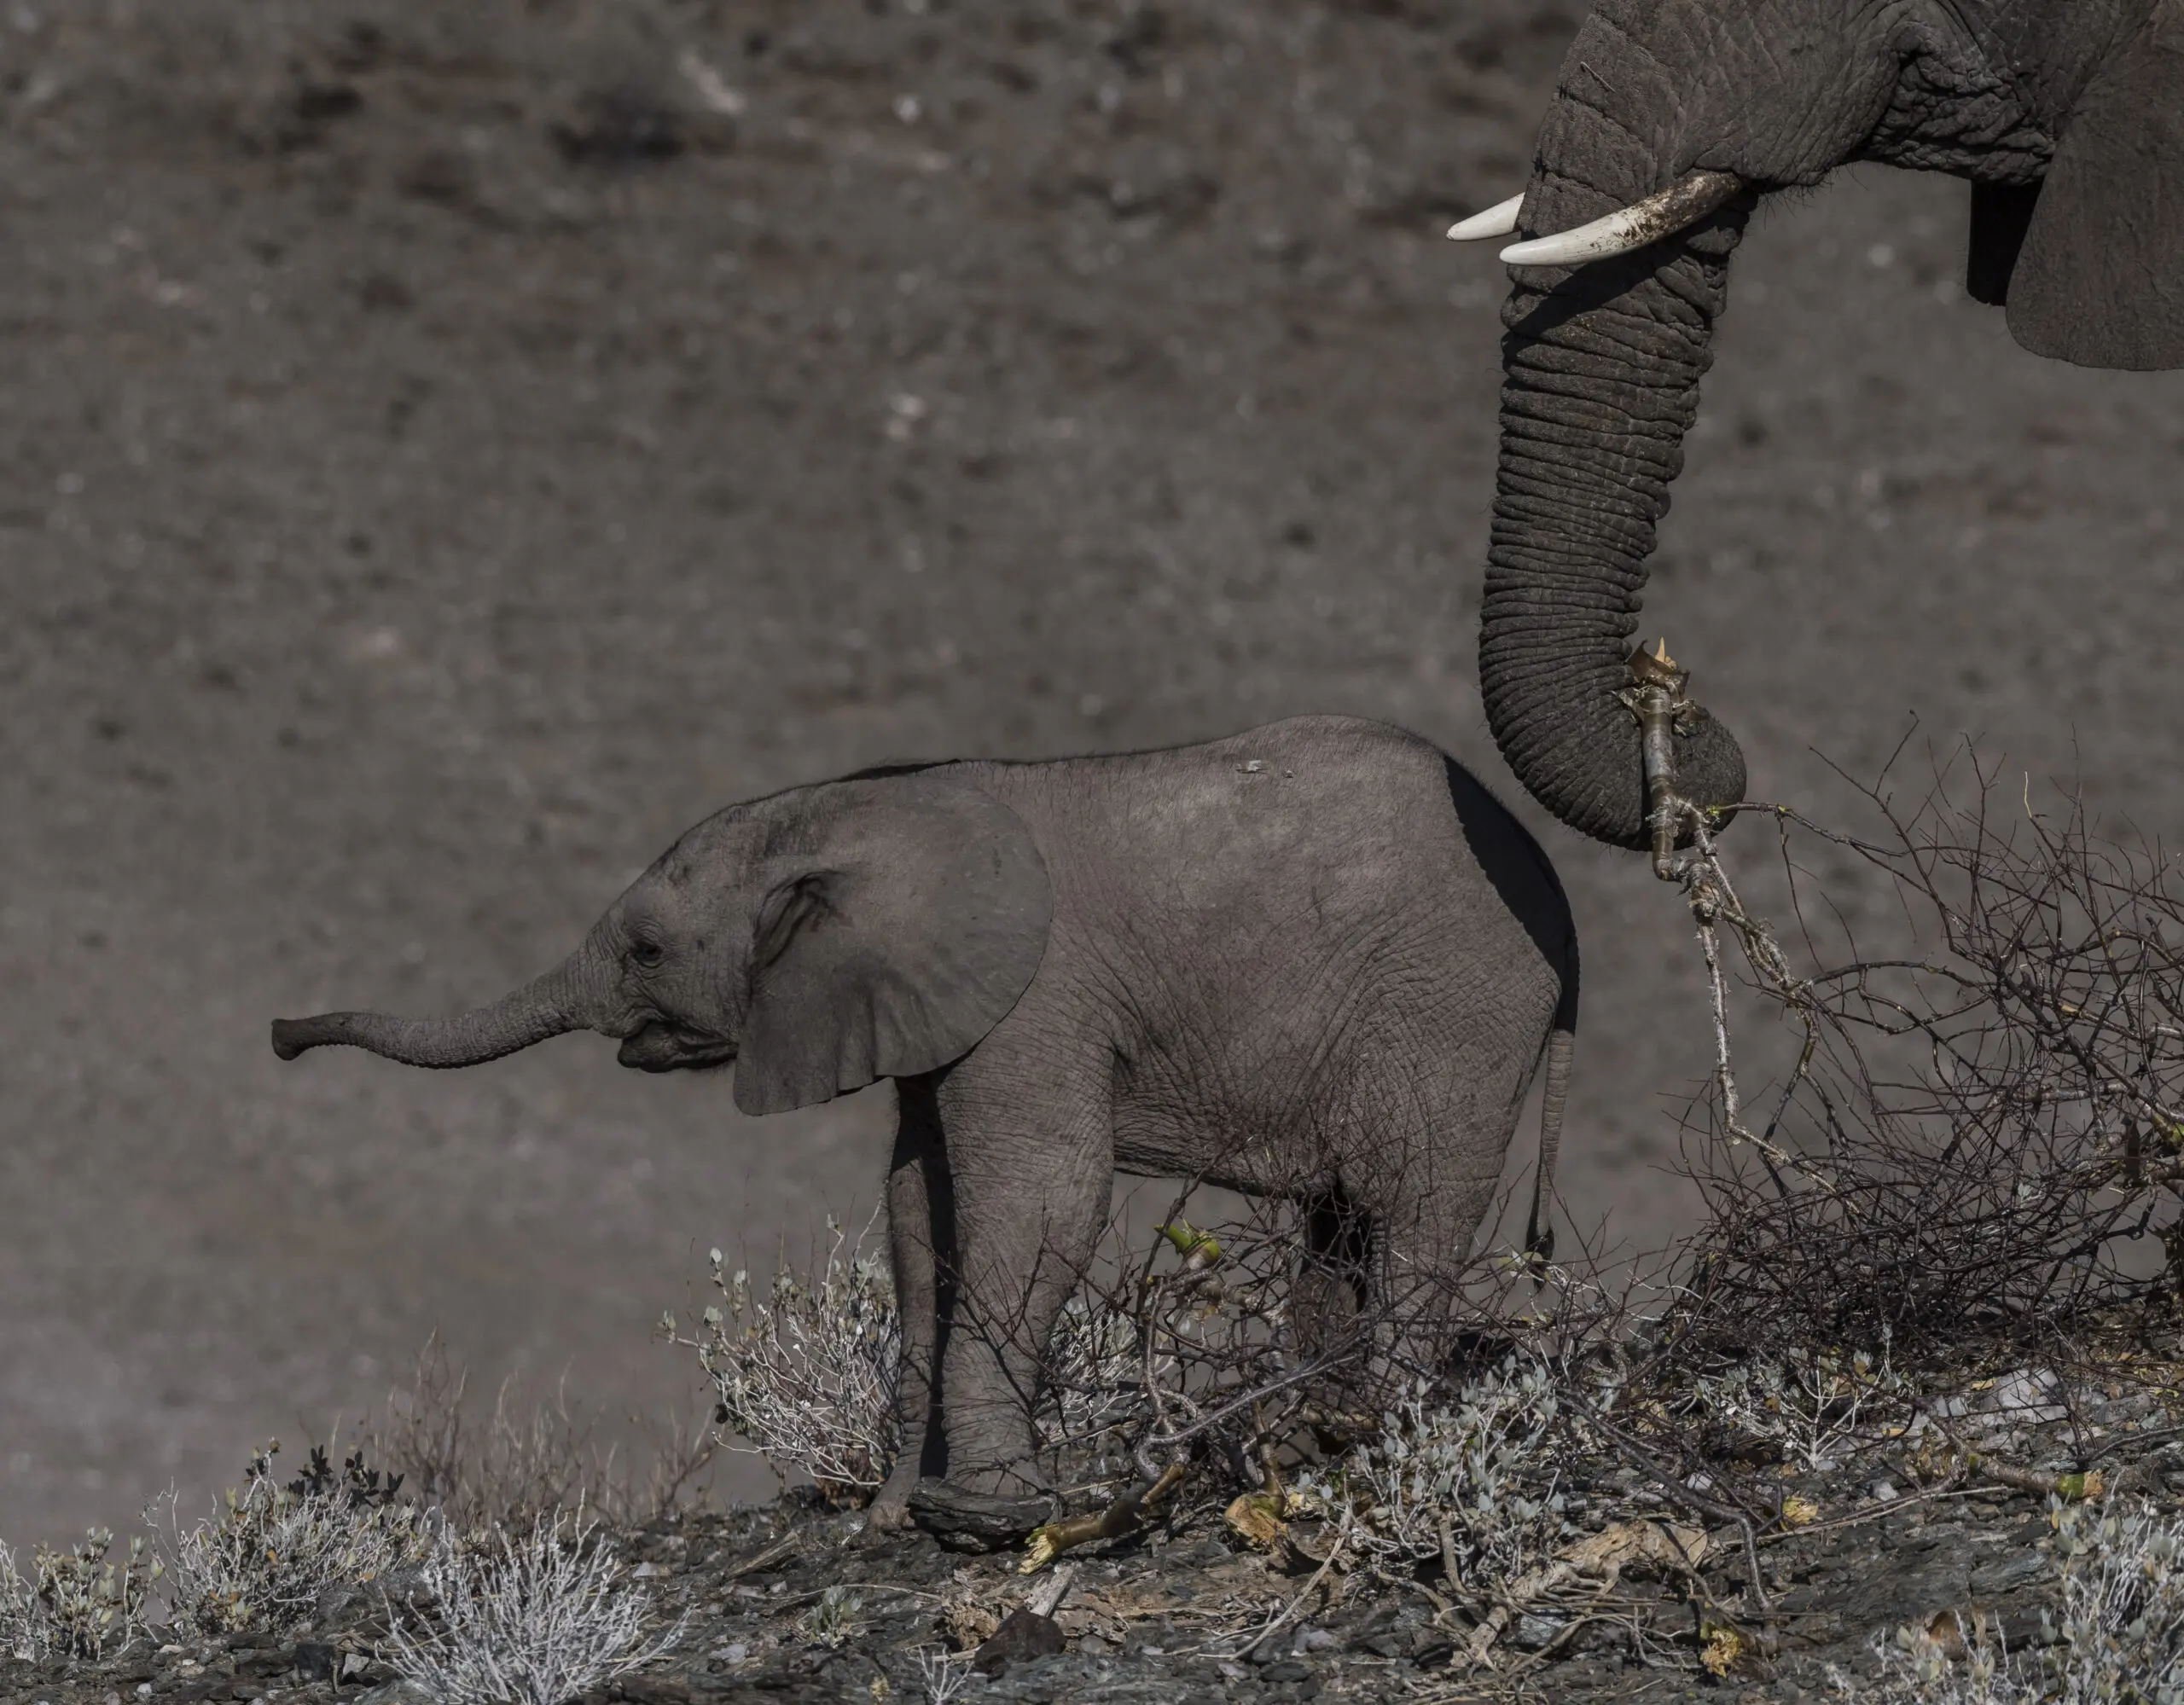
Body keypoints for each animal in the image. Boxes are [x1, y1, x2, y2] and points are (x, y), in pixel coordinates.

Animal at [273, 711, 1581, 1536]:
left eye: (644, 950)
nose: (283, 1035)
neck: (853, 810)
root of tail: (1564, 915)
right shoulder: (917, 1008)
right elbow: (918, 1208)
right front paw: (898, 1511)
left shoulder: (1037, 997)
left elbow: (1042, 1192)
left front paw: (984, 1514)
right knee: (1345, 1220)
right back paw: (1315, 1427)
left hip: (1453, 1010)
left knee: (1414, 1205)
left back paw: (1379, 1436)